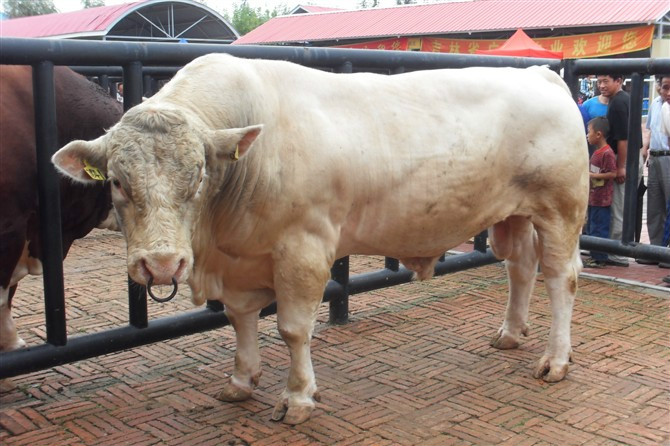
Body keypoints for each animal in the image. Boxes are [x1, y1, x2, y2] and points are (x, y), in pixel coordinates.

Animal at [51, 55, 588, 426]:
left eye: (199, 175)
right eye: (117, 182)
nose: (162, 264)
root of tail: (541, 74)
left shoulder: (302, 249)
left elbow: (292, 328)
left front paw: (297, 397)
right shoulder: (240, 262)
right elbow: (240, 319)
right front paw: (241, 380)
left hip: (561, 210)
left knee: (560, 278)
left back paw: (555, 359)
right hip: (514, 216)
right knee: (520, 267)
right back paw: (510, 332)